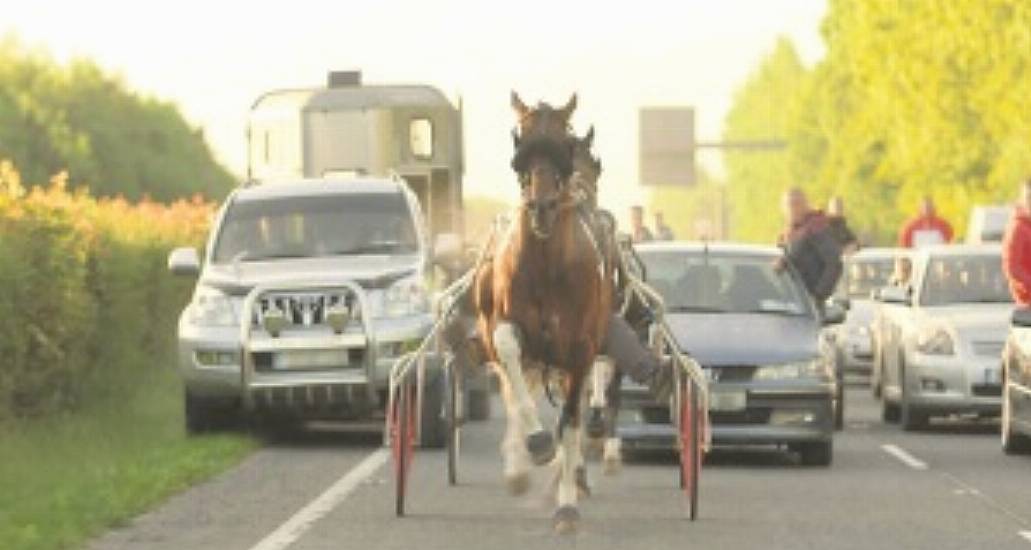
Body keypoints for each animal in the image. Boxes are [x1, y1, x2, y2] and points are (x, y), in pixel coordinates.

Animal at [474, 91, 610, 532]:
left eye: (563, 145)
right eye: (521, 142)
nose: (542, 206)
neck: (548, 266)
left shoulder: (581, 350)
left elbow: (570, 423)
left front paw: (567, 505)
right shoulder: (506, 328)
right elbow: (509, 353)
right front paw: (535, 444)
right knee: (512, 391)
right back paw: (521, 464)